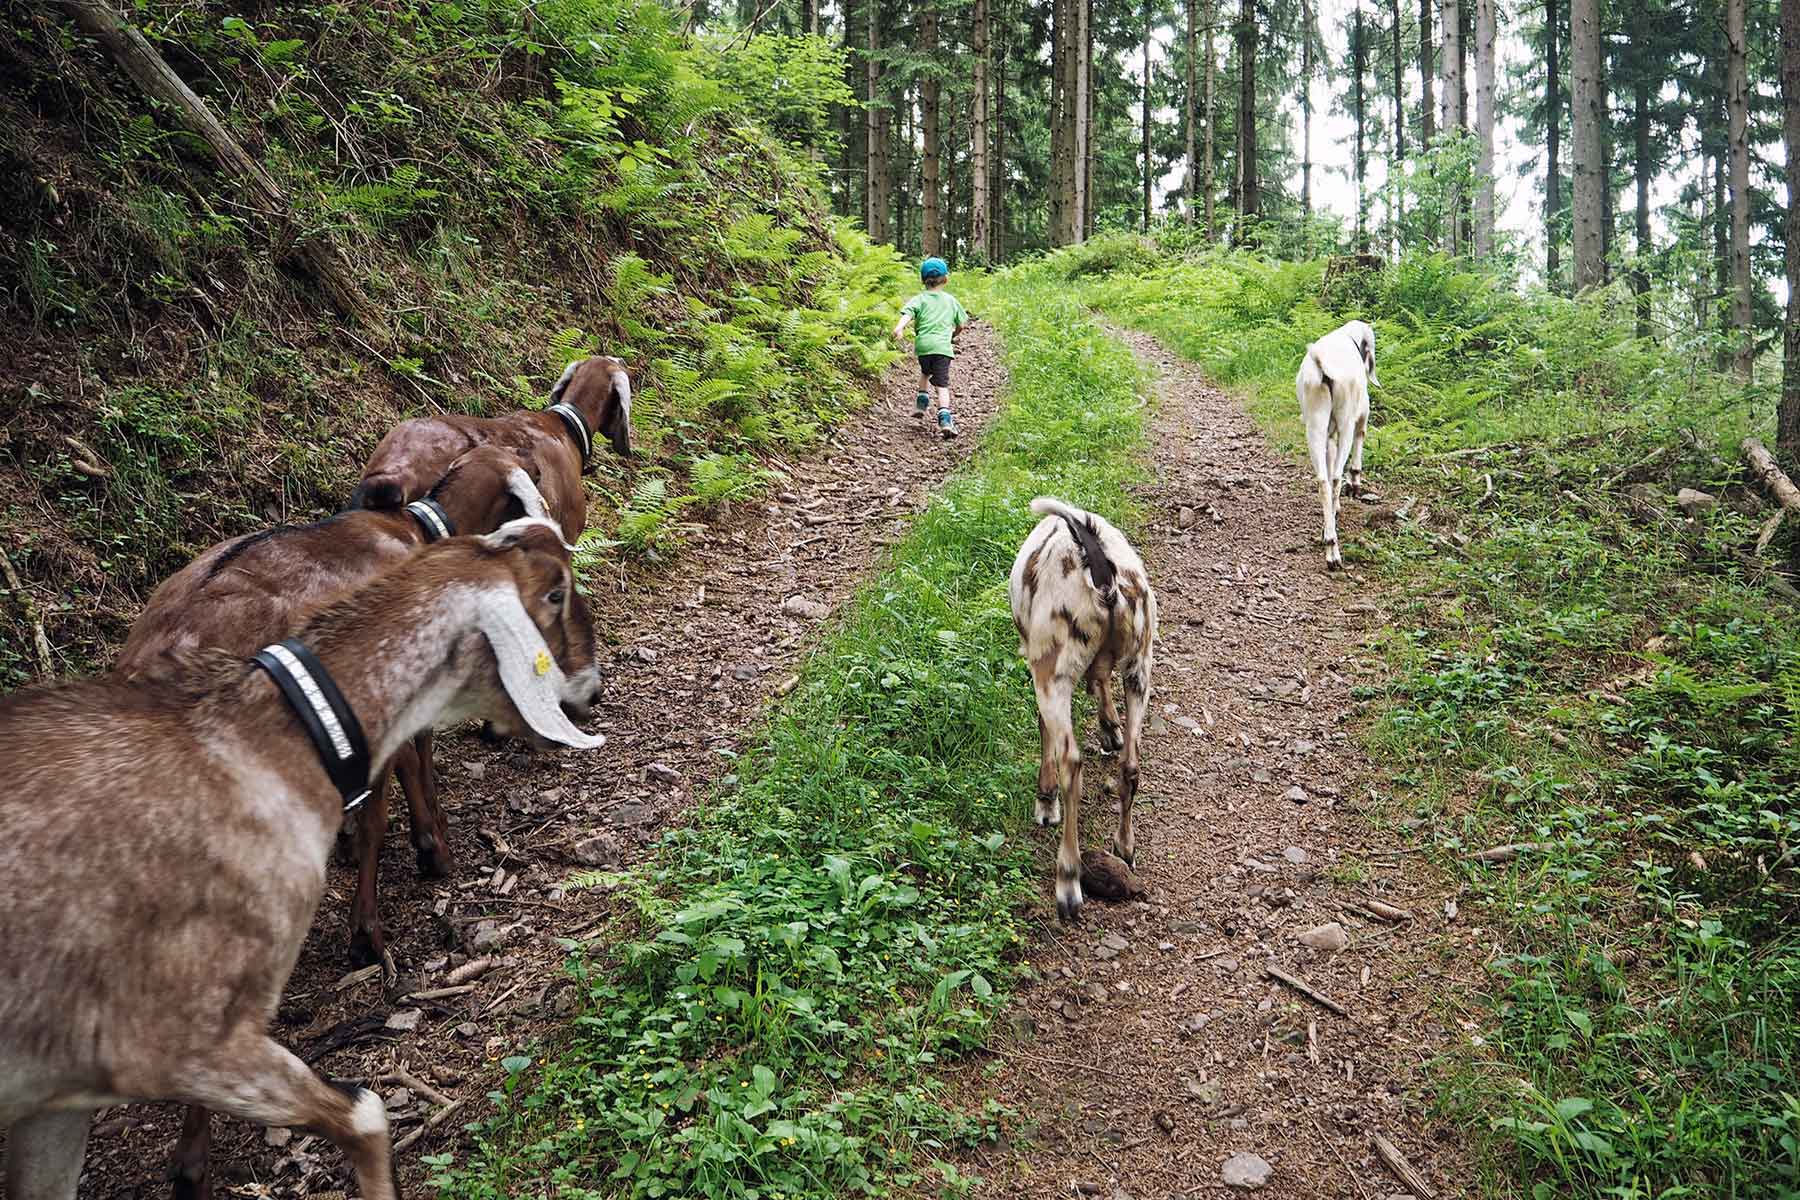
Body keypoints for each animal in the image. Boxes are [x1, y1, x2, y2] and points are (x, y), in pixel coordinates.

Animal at [0, 518, 603, 1200]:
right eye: (555, 593)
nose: (592, 688)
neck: (268, 743)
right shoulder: (174, 1037)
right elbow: (366, 1113)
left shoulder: (55, 1095)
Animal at [1009, 498, 1157, 921]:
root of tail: (1104, 578)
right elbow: (1101, 683)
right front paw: (1109, 727)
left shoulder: (1039, 667)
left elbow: (1044, 730)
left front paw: (1045, 802)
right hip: (1141, 663)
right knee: (1131, 764)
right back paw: (1125, 845)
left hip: (1053, 670)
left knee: (1071, 762)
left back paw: (1068, 881)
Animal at [1296, 319, 1378, 570]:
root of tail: (1323, 368)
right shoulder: (1361, 414)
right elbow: (1361, 438)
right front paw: (1355, 484)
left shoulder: (1329, 435)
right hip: (1345, 422)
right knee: (1335, 478)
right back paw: (1333, 551)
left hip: (1315, 424)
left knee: (1324, 481)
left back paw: (1329, 537)